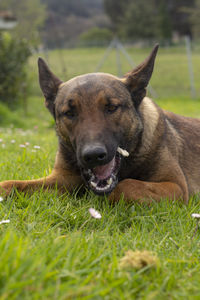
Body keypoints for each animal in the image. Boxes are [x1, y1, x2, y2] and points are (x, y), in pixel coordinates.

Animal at [0, 43, 200, 204]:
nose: (93, 155)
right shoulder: (61, 179)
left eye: (111, 107)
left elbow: (126, 186)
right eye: (70, 113)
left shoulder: (176, 186)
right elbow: (10, 183)